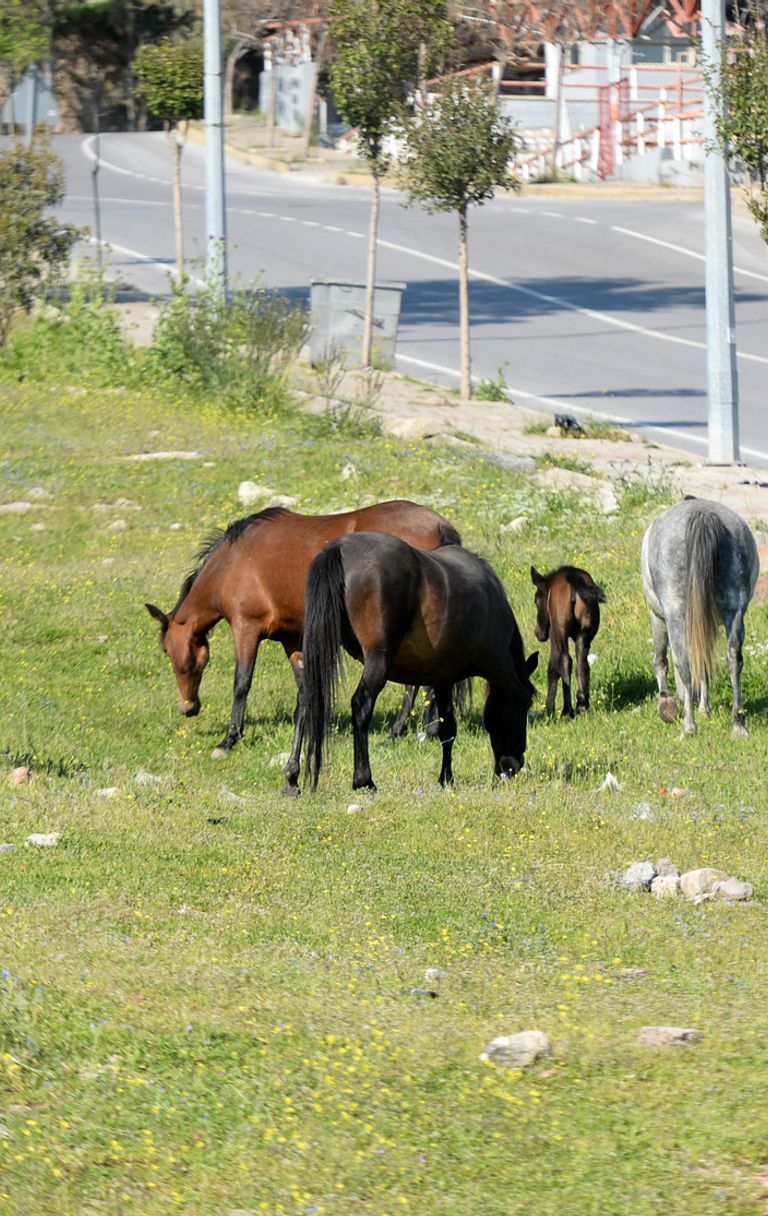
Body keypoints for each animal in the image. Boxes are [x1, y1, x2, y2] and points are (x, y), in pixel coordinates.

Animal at [145, 500, 461, 794]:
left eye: (167, 651)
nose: (188, 707)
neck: (230, 563)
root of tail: (439, 524)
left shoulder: (245, 628)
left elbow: (242, 684)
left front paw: (229, 739)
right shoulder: (292, 640)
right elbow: (304, 691)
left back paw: (409, 729)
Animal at [302, 530, 538, 791]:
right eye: (525, 705)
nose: (512, 766)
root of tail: (340, 548)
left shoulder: (444, 678)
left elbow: (447, 729)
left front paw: (446, 778)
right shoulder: (497, 667)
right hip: (378, 662)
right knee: (361, 705)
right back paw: (364, 779)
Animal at [530, 565, 606, 716]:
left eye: (536, 601)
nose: (538, 633)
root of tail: (574, 581)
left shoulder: (554, 632)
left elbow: (552, 667)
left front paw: (549, 708)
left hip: (560, 630)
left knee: (565, 660)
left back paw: (567, 709)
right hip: (585, 632)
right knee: (582, 662)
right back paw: (582, 705)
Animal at [641, 497, 758, 737]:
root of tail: (701, 514)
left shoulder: (658, 617)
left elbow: (661, 660)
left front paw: (666, 704)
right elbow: (703, 663)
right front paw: (705, 708)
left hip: (675, 614)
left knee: (683, 661)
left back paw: (689, 726)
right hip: (734, 611)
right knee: (734, 658)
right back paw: (738, 724)